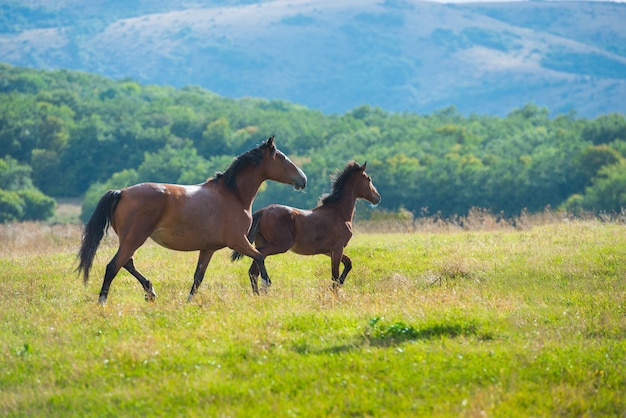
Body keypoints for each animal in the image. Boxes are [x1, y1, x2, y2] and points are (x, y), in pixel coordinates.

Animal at [77, 137, 306, 304]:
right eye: (282, 158)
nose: (302, 180)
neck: (233, 195)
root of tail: (122, 192)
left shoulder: (208, 249)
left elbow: (198, 277)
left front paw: (188, 302)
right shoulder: (238, 240)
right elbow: (259, 257)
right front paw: (266, 286)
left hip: (130, 241)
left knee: (127, 263)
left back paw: (150, 291)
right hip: (134, 239)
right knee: (113, 266)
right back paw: (103, 302)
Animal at [229, 160, 376, 294]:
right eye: (368, 179)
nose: (377, 197)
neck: (339, 212)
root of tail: (263, 210)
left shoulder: (328, 250)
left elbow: (348, 263)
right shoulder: (337, 248)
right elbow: (335, 275)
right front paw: (334, 292)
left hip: (262, 242)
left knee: (254, 269)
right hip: (280, 245)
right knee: (258, 258)